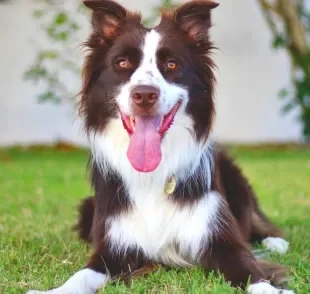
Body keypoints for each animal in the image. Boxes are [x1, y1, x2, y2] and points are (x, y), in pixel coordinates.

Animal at [26, 0, 294, 294]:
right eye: (122, 63)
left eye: (171, 64)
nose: (144, 94)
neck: (153, 172)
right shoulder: (111, 247)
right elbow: (82, 275)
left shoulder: (222, 241)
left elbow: (252, 274)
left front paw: (272, 287)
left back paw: (275, 241)